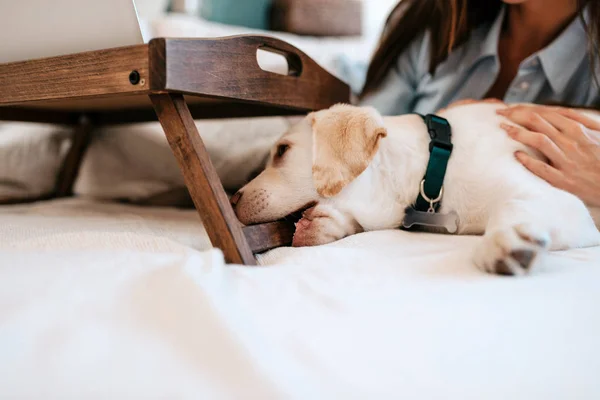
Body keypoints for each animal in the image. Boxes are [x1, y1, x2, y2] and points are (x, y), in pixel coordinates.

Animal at [230, 101, 600, 276]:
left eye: (282, 151)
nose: (232, 199)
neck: (433, 166)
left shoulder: (564, 203)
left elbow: (512, 207)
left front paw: (508, 242)